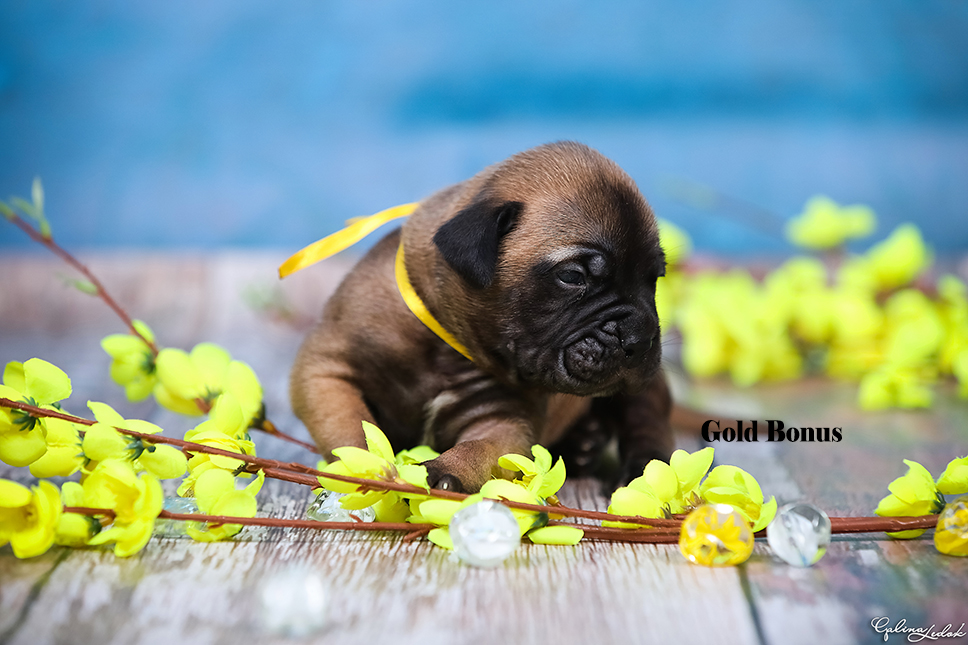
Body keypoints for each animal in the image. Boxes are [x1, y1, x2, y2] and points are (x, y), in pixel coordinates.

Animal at [292, 142, 676, 494]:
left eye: (655, 278)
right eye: (572, 276)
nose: (640, 338)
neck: (447, 345)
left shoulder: (503, 421)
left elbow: (480, 449)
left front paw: (447, 469)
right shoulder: (327, 371)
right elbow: (351, 427)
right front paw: (367, 467)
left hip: (646, 392)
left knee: (648, 424)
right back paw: (584, 443)